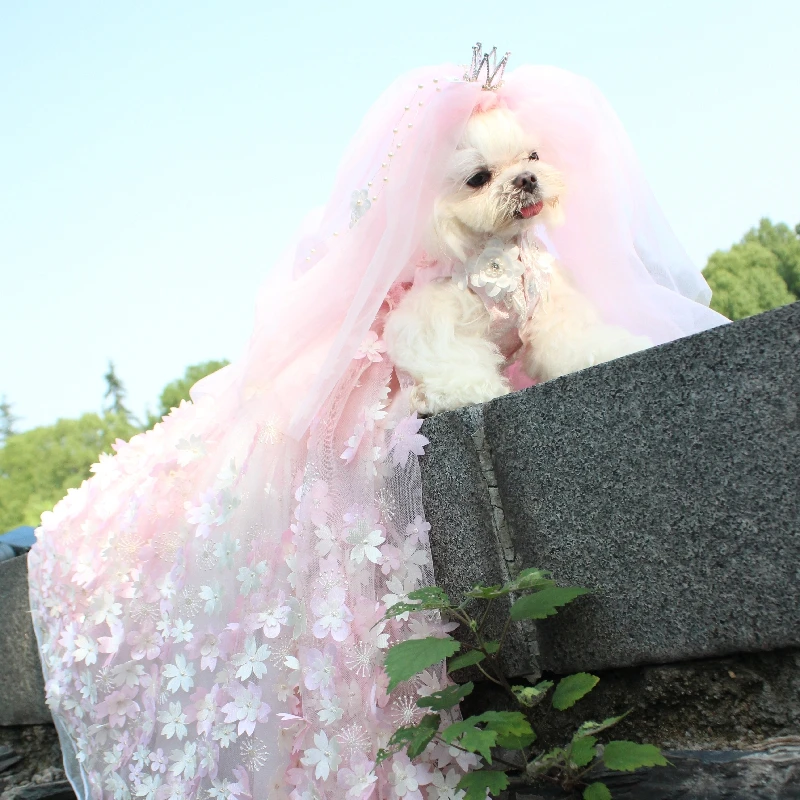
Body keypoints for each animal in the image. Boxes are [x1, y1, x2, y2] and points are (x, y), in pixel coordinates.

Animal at [382, 107, 648, 416]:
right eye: (478, 178)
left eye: (533, 156)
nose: (527, 179)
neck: (502, 246)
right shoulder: (428, 316)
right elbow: (446, 352)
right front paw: (470, 391)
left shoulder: (551, 302)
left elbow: (570, 338)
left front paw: (608, 350)